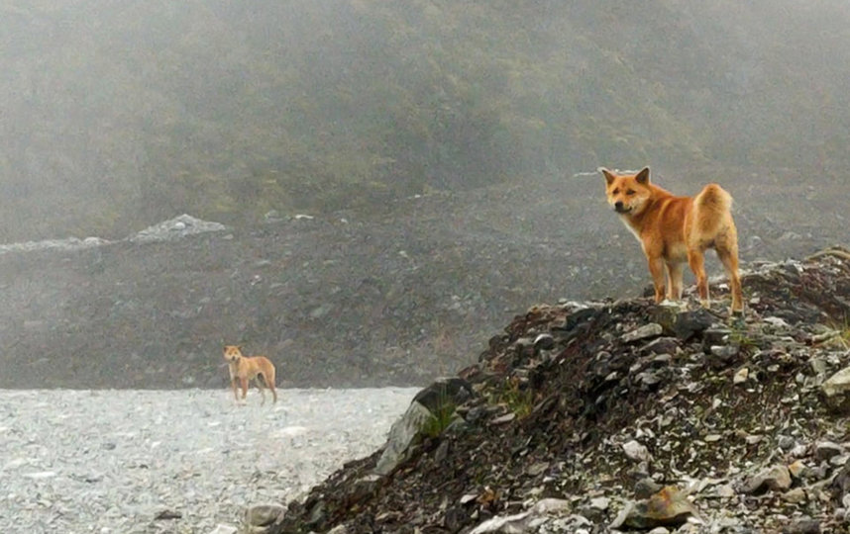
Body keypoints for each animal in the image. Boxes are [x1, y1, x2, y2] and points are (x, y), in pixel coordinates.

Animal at [600, 168, 740, 314]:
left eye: (631, 192)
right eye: (615, 191)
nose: (618, 203)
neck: (650, 207)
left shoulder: (654, 258)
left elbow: (660, 288)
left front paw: (658, 304)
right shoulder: (674, 263)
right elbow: (675, 290)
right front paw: (673, 305)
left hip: (694, 255)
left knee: (703, 279)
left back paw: (705, 306)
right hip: (727, 253)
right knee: (736, 280)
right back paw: (737, 310)